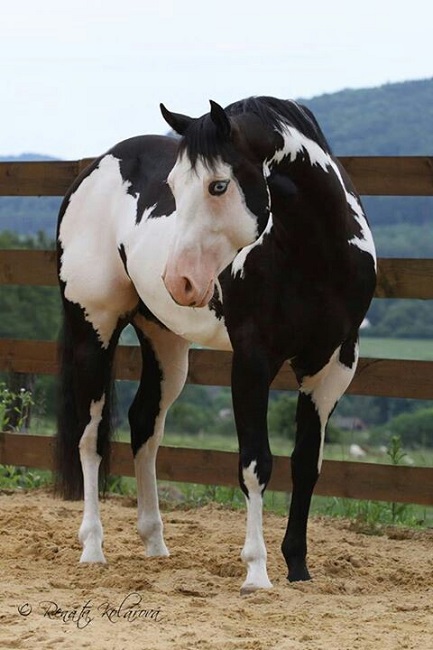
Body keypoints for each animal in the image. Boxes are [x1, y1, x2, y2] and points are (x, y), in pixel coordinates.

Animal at [55, 96, 376, 594]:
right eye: (172, 187)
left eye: (218, 185)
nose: (178, 281)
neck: (313, 252)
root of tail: (92, 171)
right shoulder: (252, 363)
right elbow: (256, 464)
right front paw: (257, 571)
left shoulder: (332, 366)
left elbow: (306, 464)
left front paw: (298, 567)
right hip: (94, 328)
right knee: (89, 437)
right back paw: (92, 547)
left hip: (165, 343)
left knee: (144, 424)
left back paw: (155, 542)